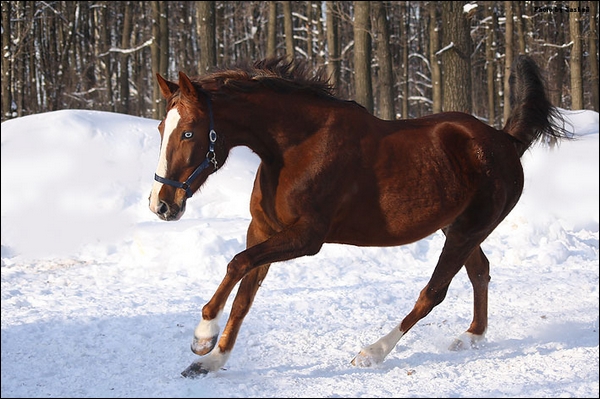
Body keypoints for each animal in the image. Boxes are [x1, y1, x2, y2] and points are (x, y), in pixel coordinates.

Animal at [148, 55, 568, 378]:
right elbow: (243, 294)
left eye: (189, 133)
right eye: (161, 128)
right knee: (480, 272)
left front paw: (202, 336)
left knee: (434, 292)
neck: (297, 148)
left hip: (468, 230)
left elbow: (236, 264)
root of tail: (505, 140)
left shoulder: (306, 238)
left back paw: (372, 352)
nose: (161, 204)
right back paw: (471, 337)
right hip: (458, 229)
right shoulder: (262, 230)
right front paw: (211, 360)